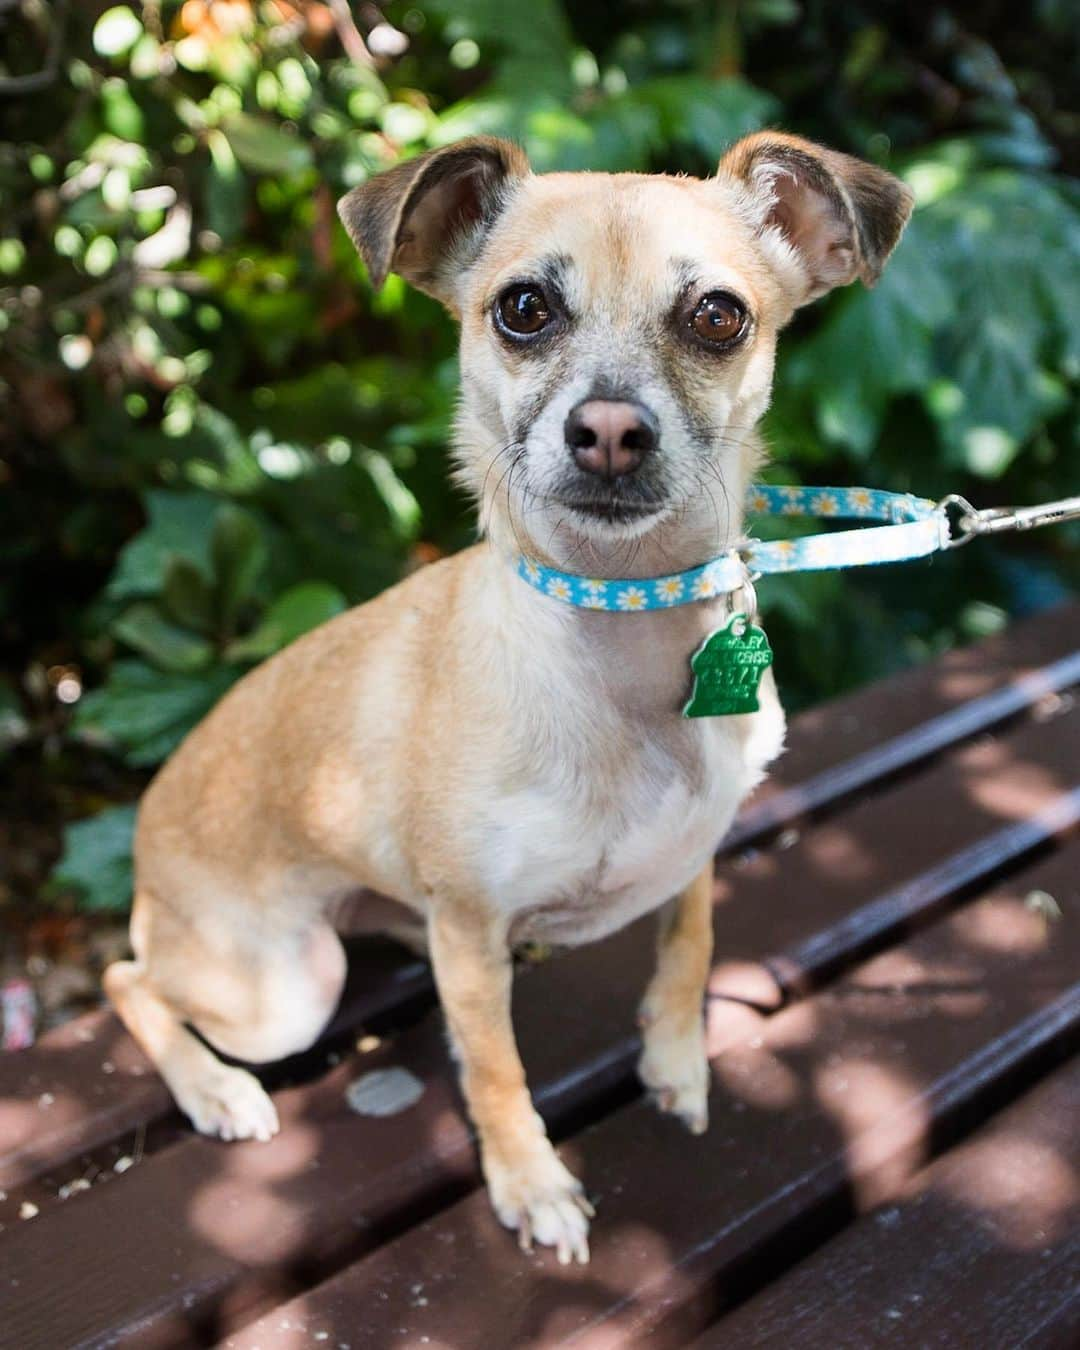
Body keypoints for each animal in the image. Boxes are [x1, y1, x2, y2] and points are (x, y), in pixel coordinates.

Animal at [105, 131, 912, 1258]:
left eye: (719, 316)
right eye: (523, 308)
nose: (610, 428)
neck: (623, 624)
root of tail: (143, 837)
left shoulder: (695, 856)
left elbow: (690, 947)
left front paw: (675, 1063)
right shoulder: (469, 930)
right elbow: (494, 1069)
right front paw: (530, 1183)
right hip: (284, 994)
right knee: (128, 980)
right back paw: (215, 1091)